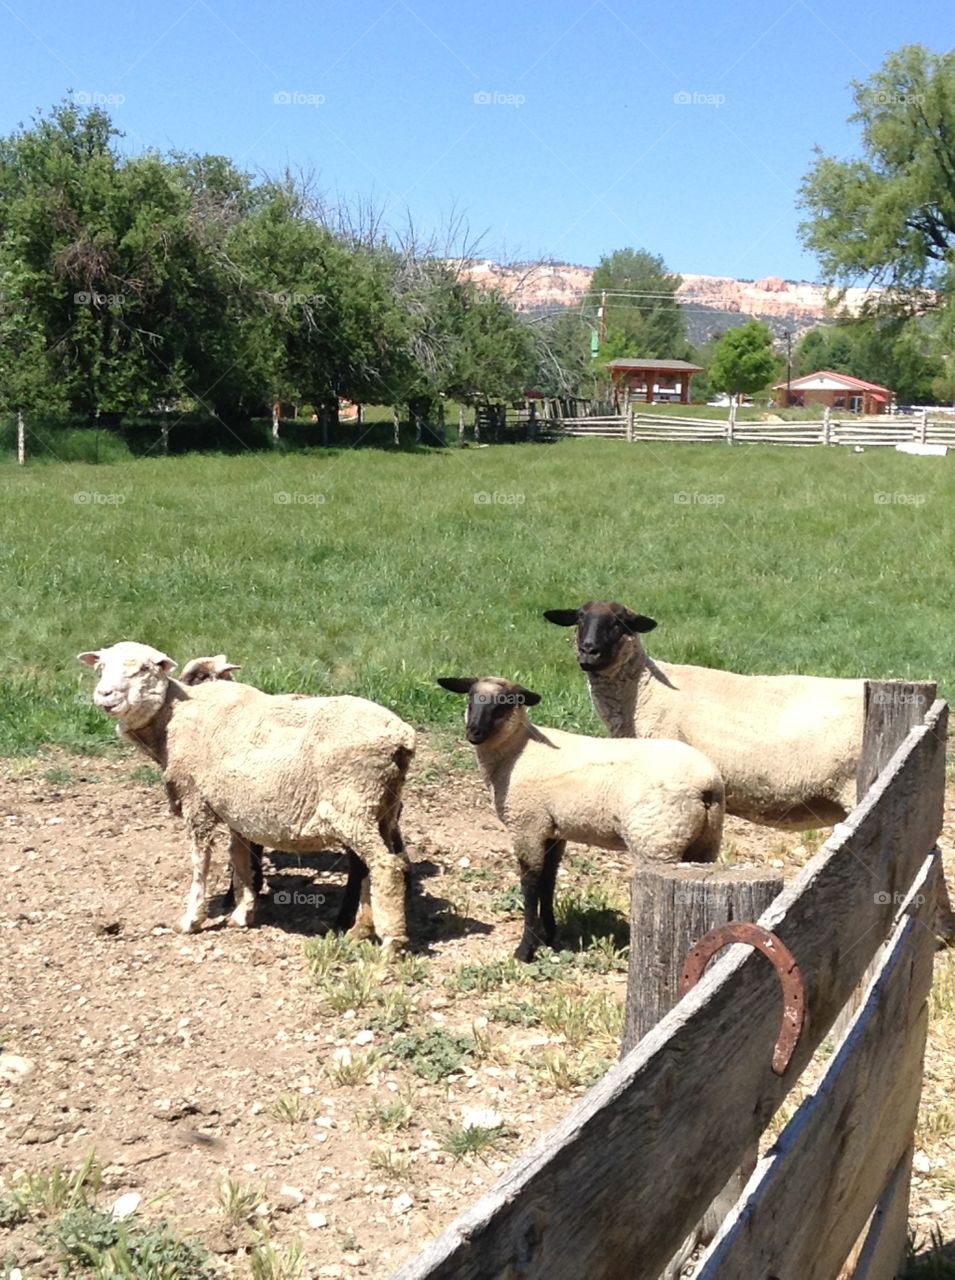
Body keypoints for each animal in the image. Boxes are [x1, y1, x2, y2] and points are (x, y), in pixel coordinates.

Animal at [78, 641, 415, 954]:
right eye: (101, 667)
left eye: (144, 669)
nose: (105, 694)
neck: (174, 717)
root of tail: (401, 736)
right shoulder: (236, 808)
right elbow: (240, 857)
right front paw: (243, 912)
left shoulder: (196, 801)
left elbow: (200, 862)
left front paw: (192, 920)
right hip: (382, 808)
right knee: (381, 862)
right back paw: (362, 929)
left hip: (352, 804)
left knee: (384, 865)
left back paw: (391, 942)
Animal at [437, 675, 724, 961]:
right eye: (470, 697)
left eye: (506, 703)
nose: (474, 732)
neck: (517, 751)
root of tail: (706, 784)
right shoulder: (552, 832)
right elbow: (548, 882)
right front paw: (550, 936)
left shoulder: (527, 826)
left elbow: (530, 886)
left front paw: (525, 949)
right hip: (704, 844)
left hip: (657, 841)